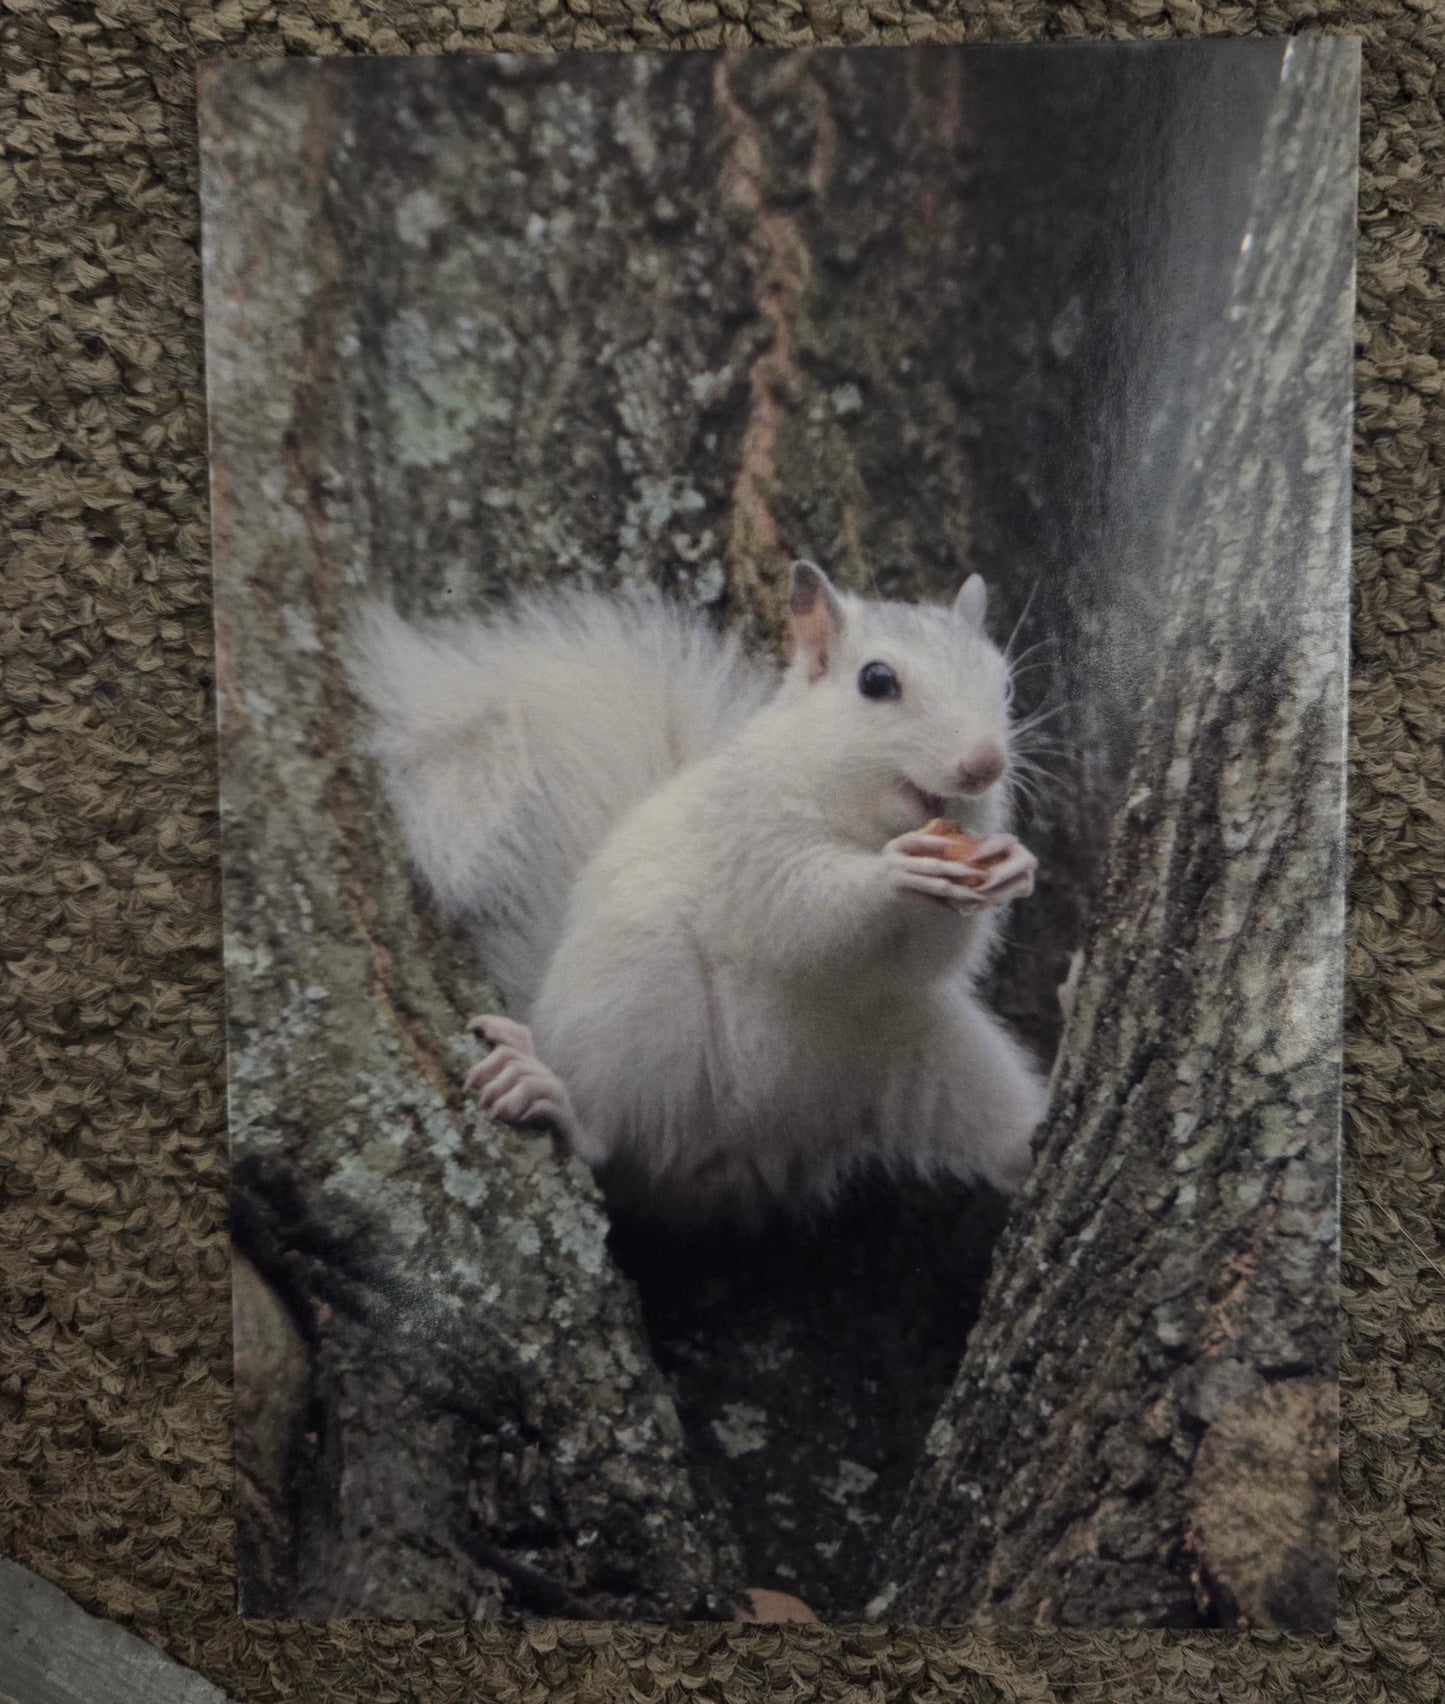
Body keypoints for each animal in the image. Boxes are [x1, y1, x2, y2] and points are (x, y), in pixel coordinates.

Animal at [347, 561, 1049, 1224]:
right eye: (876, 682)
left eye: (1006, 685)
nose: (984, 765)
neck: (867, 815)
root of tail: (748, 1148)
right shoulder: (749, 837)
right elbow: (801, 907)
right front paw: (895, 872)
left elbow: (935, 954)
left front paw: (1012, 864)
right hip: (639, 1000)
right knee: (609, 1137)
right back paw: (558, 1100)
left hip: (937, 1051)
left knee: (992, 1128)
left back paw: (1028, 1139)